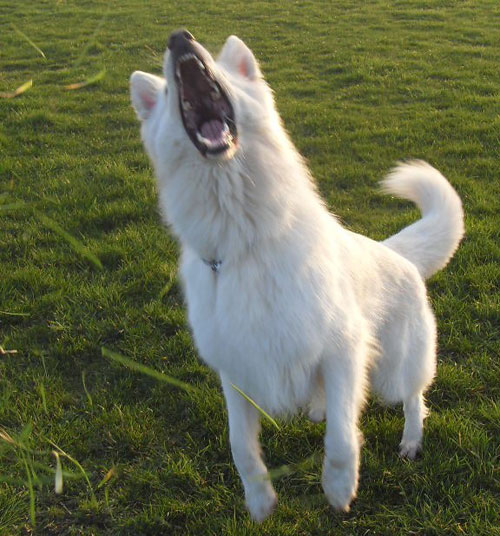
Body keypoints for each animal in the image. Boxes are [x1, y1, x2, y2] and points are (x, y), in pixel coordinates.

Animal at [130, 31, 464, 520]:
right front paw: (260, 501)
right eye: (172, 90)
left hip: (395, 370)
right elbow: (241, 448)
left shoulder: (343, 349)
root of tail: (395, 252)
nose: (179, 38)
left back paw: (410, 442)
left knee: (413, 400)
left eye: (222, 71)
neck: (242, 242)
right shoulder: (235, 373)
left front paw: (339, 489)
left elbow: (342, 439)